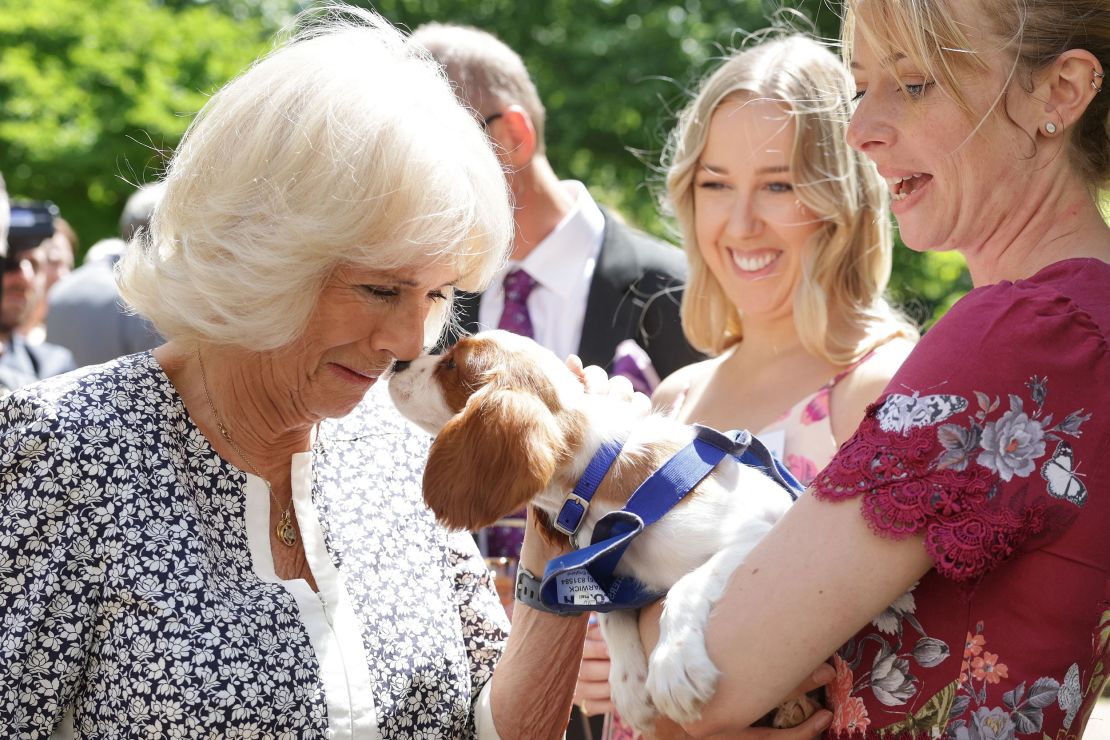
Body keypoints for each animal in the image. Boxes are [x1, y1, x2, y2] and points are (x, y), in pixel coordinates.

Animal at [390, 332, 799, 732]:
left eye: (451, 364)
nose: (399, 363)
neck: (601, 476)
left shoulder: (760, 530)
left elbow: (686, 585)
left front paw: (674, 663)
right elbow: (608, 613)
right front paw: (629, 687)